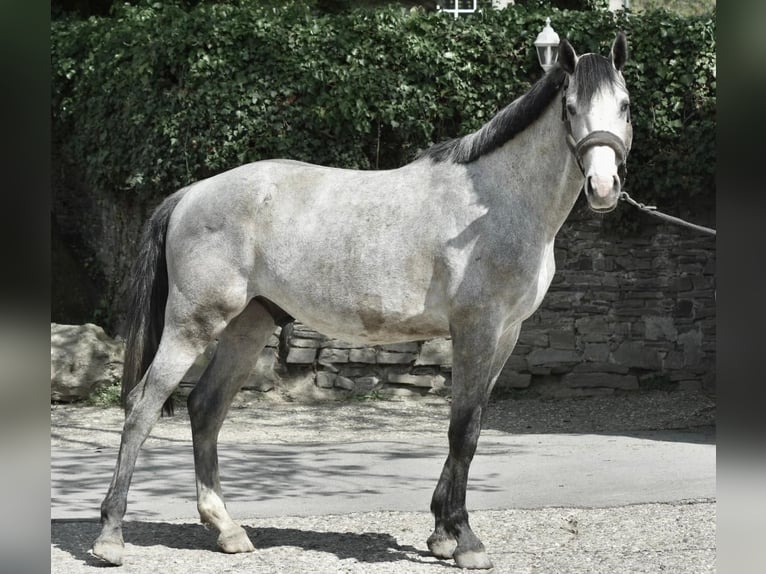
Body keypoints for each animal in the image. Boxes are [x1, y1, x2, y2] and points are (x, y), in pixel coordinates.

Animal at [92, 33, 632, 569]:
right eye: (570, 107)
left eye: (624, 106)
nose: (604, 188)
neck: (494, 203)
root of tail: (190, 194)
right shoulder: (476, 329)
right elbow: (464, 431)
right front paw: (465, 540)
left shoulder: (505, 336)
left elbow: (470, 423)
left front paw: (441, 534)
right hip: (193, 324)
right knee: (141, 408)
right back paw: (111, 536)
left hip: (248, 324)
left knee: (205, 408)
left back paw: (227, 530)